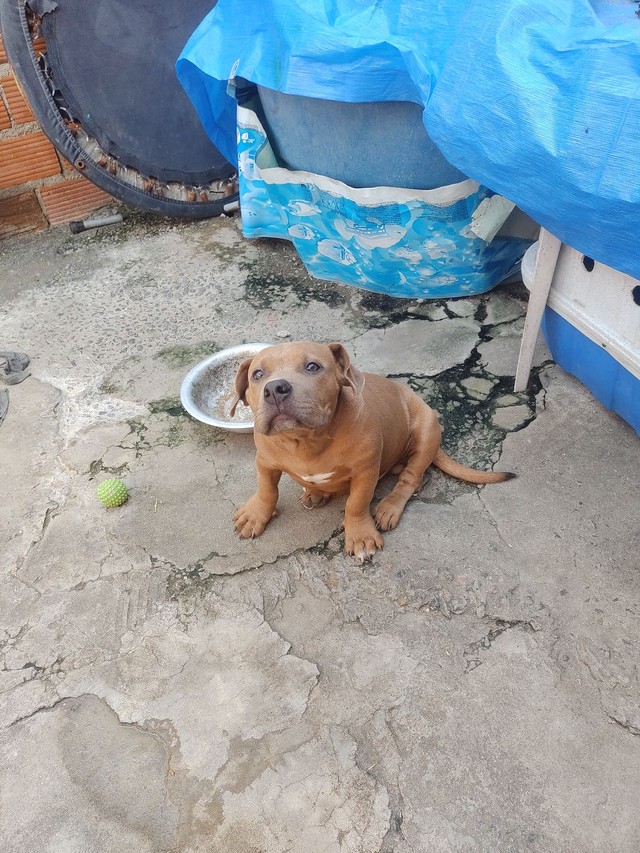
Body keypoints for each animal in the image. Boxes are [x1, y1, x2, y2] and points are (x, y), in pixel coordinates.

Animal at [232, 340, 512, 560]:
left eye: (313, 367)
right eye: (257, 374)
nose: (274, 389)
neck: (305, 440)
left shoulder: (365, 472)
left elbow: (356, 504)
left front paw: (359, 536)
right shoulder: (265, 461)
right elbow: (266, 490)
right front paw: (256, 515)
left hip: (426, 431)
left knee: (412, 478)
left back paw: (389, 506)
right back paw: (316, 493)